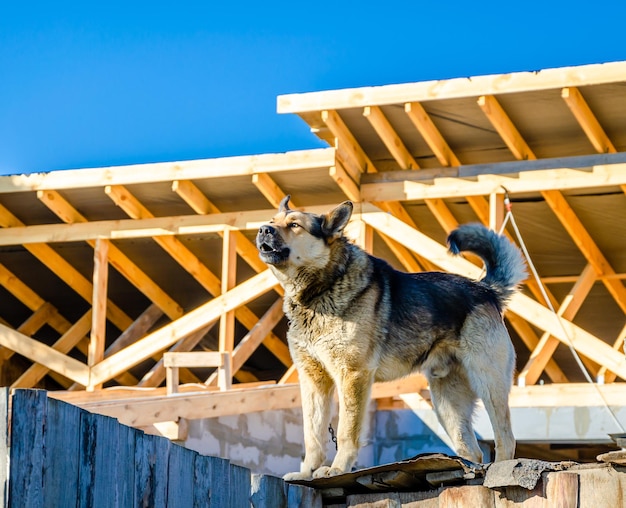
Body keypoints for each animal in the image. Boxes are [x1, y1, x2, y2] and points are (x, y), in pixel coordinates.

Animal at [256, 196, 524, 478]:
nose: (263, 229)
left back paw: (499, 470)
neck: (324, 285)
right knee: (472, 451)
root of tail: (486, 290)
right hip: (446, 403)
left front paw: (338, 469)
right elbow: (313, 434)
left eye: (294, 225)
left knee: (506, 438)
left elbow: (346, 431)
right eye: (273, 222)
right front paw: (307, 473)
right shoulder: (314, 381)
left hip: (488, 384)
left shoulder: (353, 376)